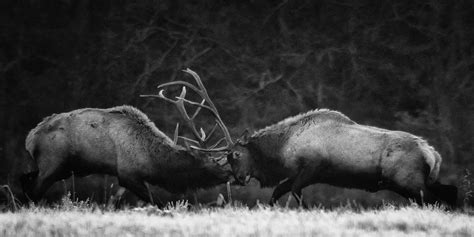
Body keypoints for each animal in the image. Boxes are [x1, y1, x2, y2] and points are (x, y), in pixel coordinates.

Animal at [20, 75, 233, 205]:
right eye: (213, 161)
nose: (231, 174)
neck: (153, 161)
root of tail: (30, 138)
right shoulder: (127, 173)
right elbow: (158, 202)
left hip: (58, 168)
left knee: (26, 179)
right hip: (52, 164)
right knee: (34, 189)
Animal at [161, 69, 458, 206]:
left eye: (234, 154)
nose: (240, 179)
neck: (282, 149)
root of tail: (433, 153)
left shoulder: (312, 167)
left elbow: (294, 192)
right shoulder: (299, 173)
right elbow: (277, 193)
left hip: (408, 180)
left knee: (436, 198)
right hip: (416, 181)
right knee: (449, 192)